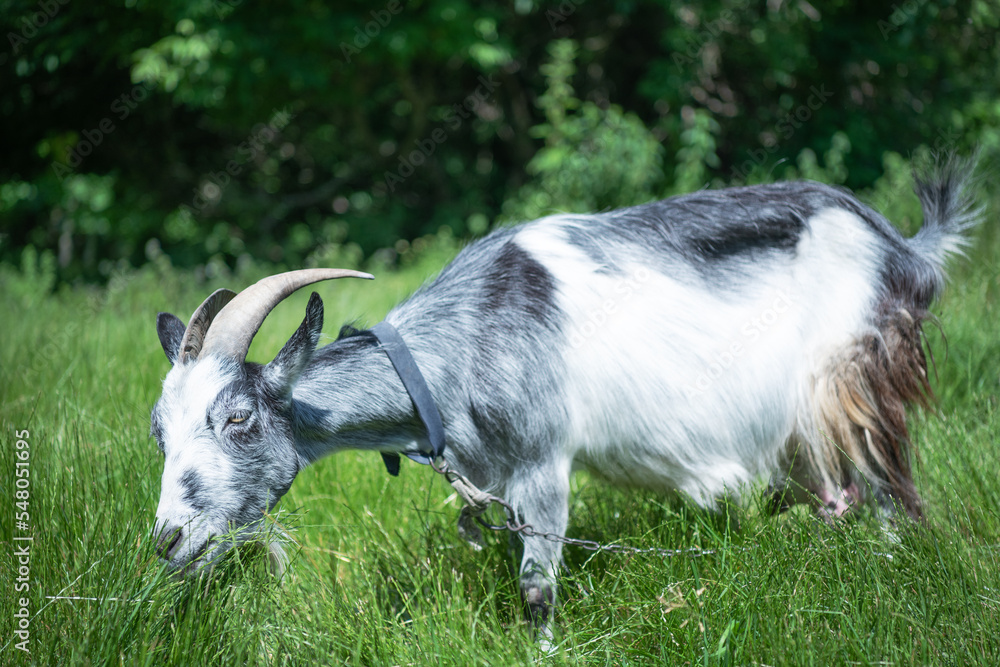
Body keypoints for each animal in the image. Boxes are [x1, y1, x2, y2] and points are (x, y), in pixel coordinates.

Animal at [150, 159, 979, 637]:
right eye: (159, 431)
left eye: (238, 418)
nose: (167, 540)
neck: (460, 343)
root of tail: (908, 247)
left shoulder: (543, 457)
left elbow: (536, 585)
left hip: (852, 375)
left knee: (893, 490)